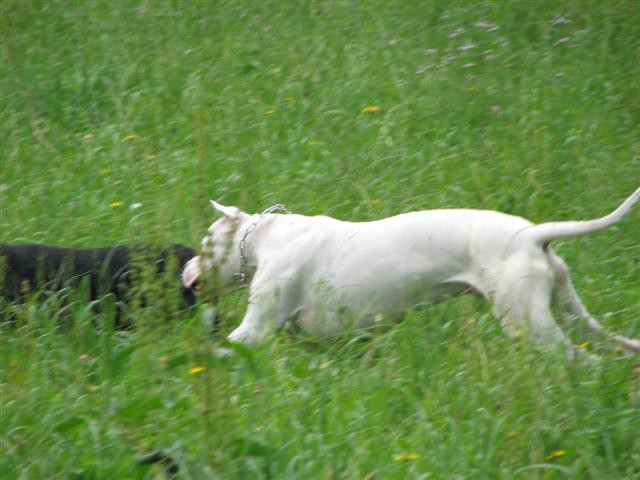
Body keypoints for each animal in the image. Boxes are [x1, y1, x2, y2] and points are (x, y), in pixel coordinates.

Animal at [182, 188, 636, 356]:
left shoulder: (252, 332)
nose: (185, 268)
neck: (266, 236)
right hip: (568, 312)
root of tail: (533, 235)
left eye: (205, 240)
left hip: (529, 323)